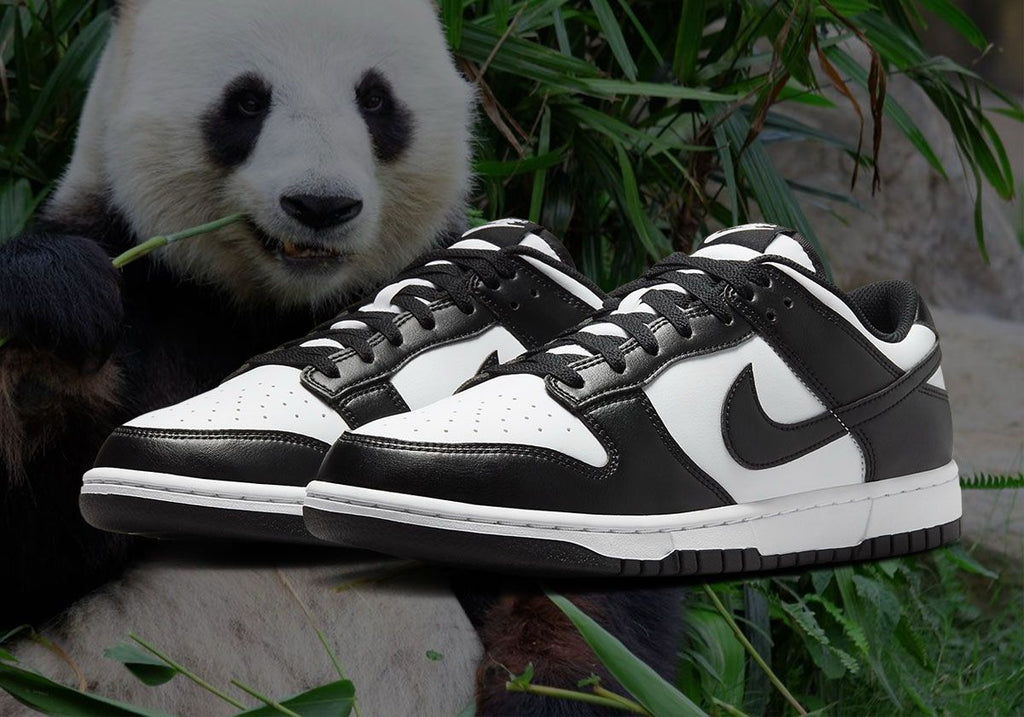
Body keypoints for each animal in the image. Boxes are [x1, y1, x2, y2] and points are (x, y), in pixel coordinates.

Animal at [0, 1, 682, 714]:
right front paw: (52, 324)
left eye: (375, 99)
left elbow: (581, 588)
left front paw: (552, 689)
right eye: (247, 100)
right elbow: (35, 551)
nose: (321, 206)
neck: (280, 309)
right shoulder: (153, 303)